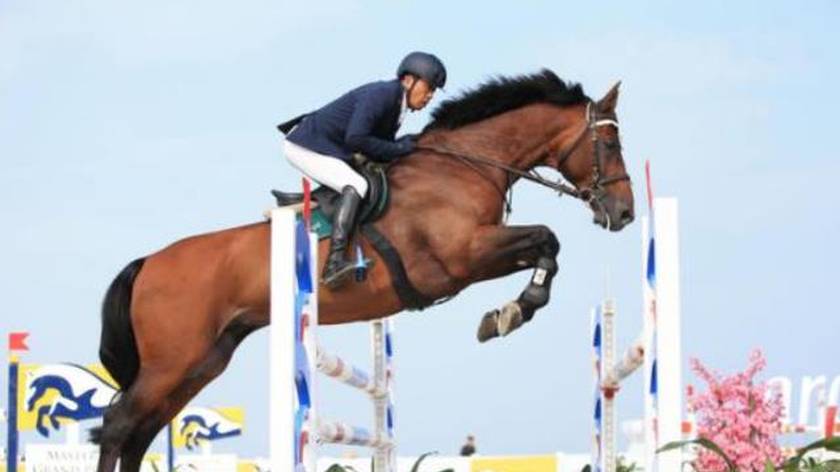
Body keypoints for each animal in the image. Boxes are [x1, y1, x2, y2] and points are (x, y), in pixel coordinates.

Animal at [92, 69, 634, 471]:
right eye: (610, 146)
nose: (625, 213)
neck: (463, 165)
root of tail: (149, 262)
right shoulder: (461, 258)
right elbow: (546, 238)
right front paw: (511, 313)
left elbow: (546, 248)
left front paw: (507, 313)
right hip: (172, 361)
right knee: (119, 425)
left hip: (202, 360)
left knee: (141, 431)